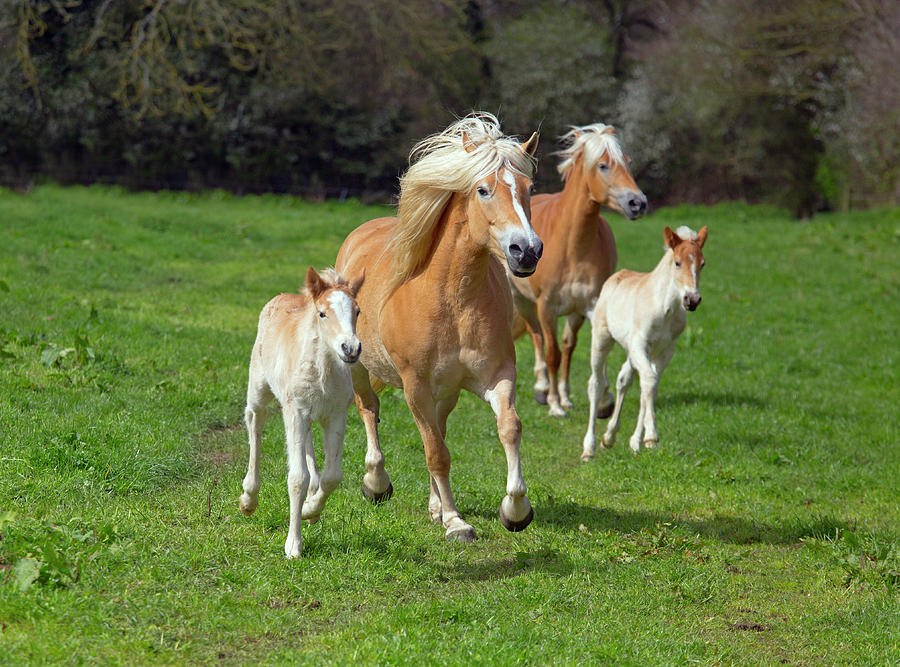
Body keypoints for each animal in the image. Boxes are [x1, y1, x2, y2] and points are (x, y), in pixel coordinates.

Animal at [243, 266, 366, 560]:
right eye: (322, 313)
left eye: (357, 311)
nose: (350, 349)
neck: (323, 371)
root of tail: (279, 297)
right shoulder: (296, 412)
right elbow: (297, 478)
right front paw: (293, 545)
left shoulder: (335, 415)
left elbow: (333, 476)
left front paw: (311, 509)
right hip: (260, 390)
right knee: (255, 423)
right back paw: (249, 498)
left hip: (307, 414)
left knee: (308, 446)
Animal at [334, 113, 536, 544]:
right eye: (483, 189)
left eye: (529, 188)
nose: (526, 251)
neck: (452, 300)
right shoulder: (415, 387)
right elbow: (435, 452)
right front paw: (456, 521)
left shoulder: (496, 376)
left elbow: (508, 428)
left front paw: (515, 510)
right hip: (360, 367)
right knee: (369, 409)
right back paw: (376, 483)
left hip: (446, 392)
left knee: (438, 428)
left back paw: (433, 505)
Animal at [506, 124, 648, 418]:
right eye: (604, 165)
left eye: (627, 162)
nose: (638, 203)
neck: (572, 245)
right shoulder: (546, 307)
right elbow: (552, 353)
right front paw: (554, 404)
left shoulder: (590, 305)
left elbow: (594, 350)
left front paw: (603, 400)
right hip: (522, 301)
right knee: (537, 337)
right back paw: (543, 389)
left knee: (568, 346)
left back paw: (565, 394)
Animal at [584, 227, 712, 462]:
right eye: (677, 263)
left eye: (702, 264)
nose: (692, 300)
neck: (664, 309)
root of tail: (616, 276)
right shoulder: (640, 345)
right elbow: (649, 382)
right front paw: (651, 435)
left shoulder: (665, 351)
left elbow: (649, 385)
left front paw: (638, 441)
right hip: (601, 339)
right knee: (596, 383)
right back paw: (589, 448)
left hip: (632, 351)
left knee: (624, 379)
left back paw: (610, 436)